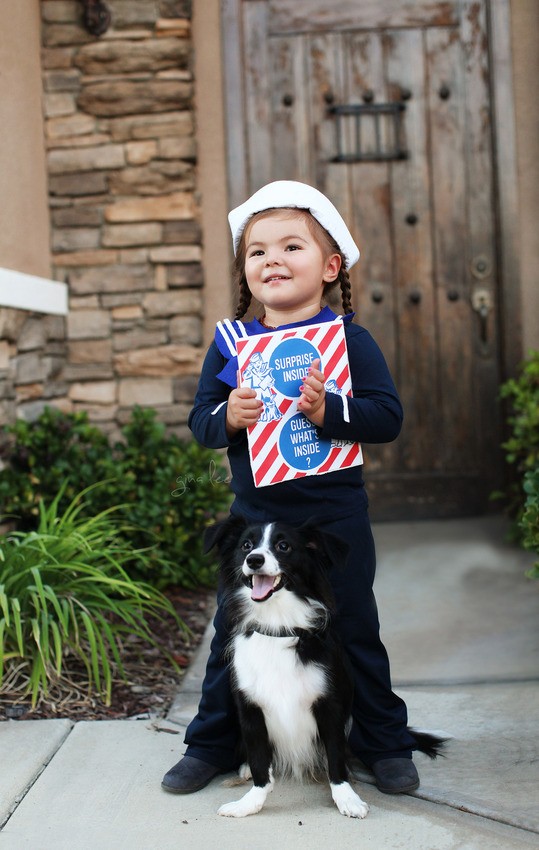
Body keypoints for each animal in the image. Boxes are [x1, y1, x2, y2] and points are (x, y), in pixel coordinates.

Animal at [204, 515, 444, 819]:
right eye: (246, 545)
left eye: (283, 546)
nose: (254, 559)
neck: (278, 627)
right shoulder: (250, 708)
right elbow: (260, 763)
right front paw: (249, 803)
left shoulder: (330, 705)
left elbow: (335, 756)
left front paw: (347, 798)